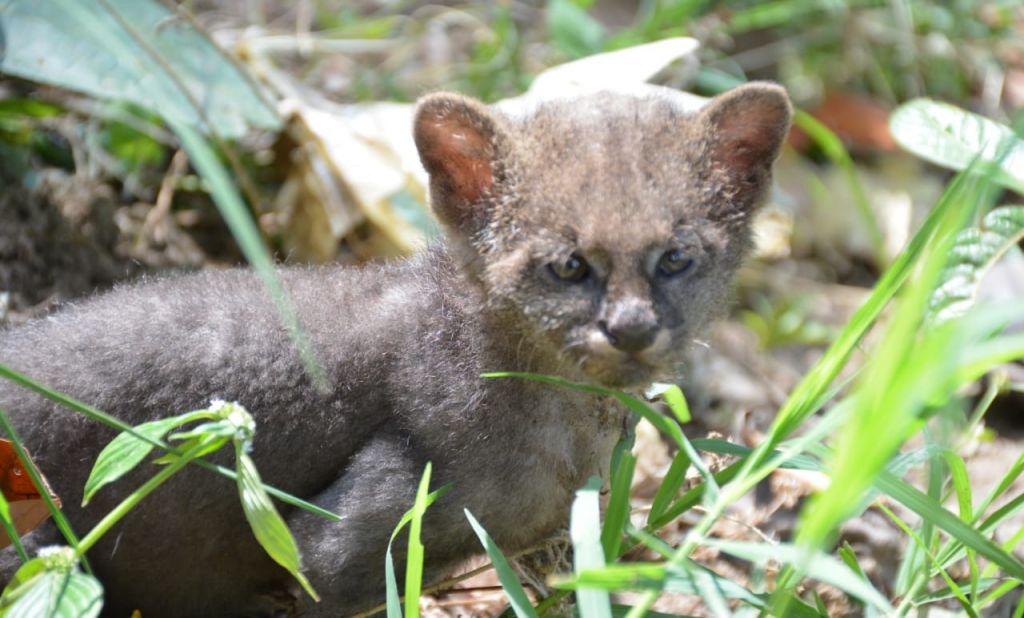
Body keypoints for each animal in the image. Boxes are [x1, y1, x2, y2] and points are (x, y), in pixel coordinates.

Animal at [0, 80, 790, 613]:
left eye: (676, 258)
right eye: (568, 265)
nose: (629, 328)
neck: (567, 425)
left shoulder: (551, 542)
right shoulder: (339, 543)